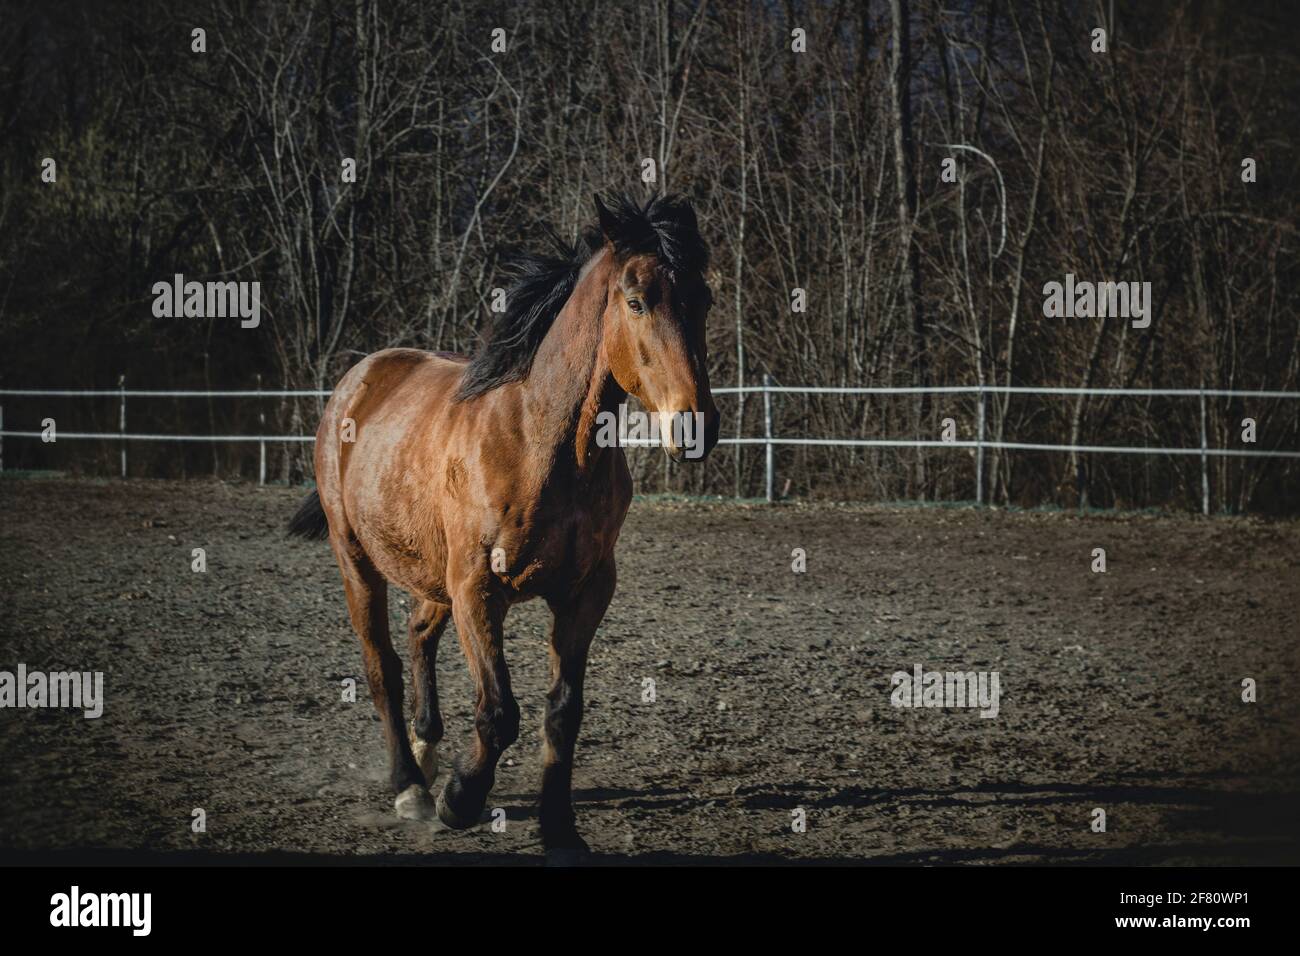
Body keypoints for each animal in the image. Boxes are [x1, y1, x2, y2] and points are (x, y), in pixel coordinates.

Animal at [287, 192, 722, 858]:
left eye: (704, 299)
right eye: (636, 300)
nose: (696, 427)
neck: (539, 442)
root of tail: (358, 380)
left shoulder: (585, 591)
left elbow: (563, 712)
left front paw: (560, 830)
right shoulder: (478, 589)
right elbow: (499, 711)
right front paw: (459, 800)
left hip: (429, 570)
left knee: (418, 634)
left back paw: (427, 751)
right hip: (356, 558)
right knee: (382, 664)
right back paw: (410, 786)